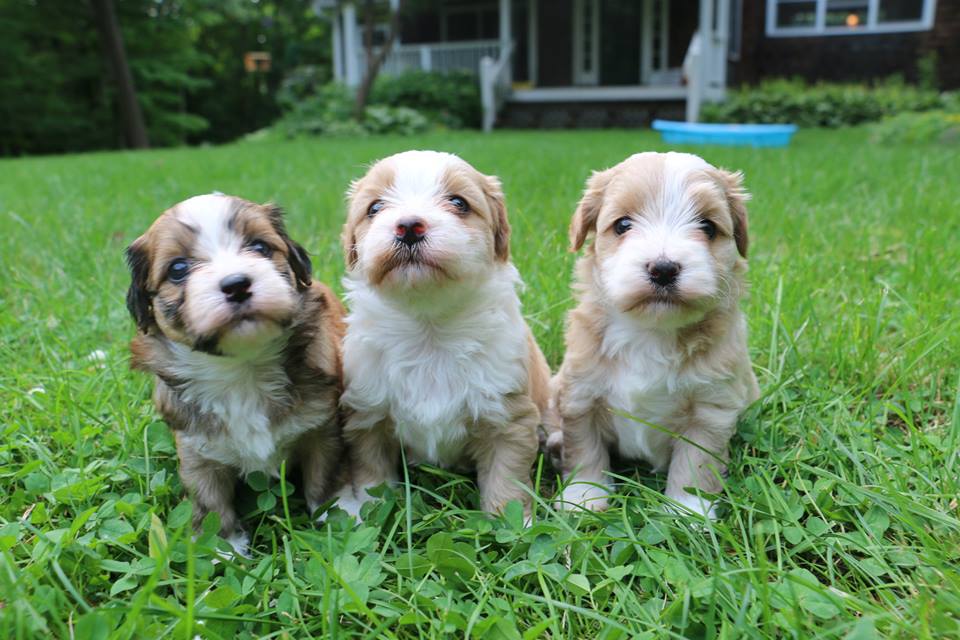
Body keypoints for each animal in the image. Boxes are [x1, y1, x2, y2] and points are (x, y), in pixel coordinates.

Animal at [126, 192, 344, 552]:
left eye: (259, 247)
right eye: (178, 269)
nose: (237, 284)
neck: (241, 369)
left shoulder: (322, 429)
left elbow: (323, 479)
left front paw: (335, 519)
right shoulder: (196, 451)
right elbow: (210, 503)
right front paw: (223, 549)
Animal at [338, 151, 552, 520]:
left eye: (458, 203)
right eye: (375, 207)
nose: (409, 225)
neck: (429, 328)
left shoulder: (508, 418)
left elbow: (506, 483)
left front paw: (516, 526)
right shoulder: (367, 416)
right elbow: (372, 476)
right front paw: (370, 511)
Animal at [552, 152, 760, 516]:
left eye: (708, 227)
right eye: (622, 225)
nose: (663, 269)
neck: (650, 332)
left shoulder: (710, 410)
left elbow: (694, 466)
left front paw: (688, 511)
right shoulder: (580, 395)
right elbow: (584, 450)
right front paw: (584, 499)